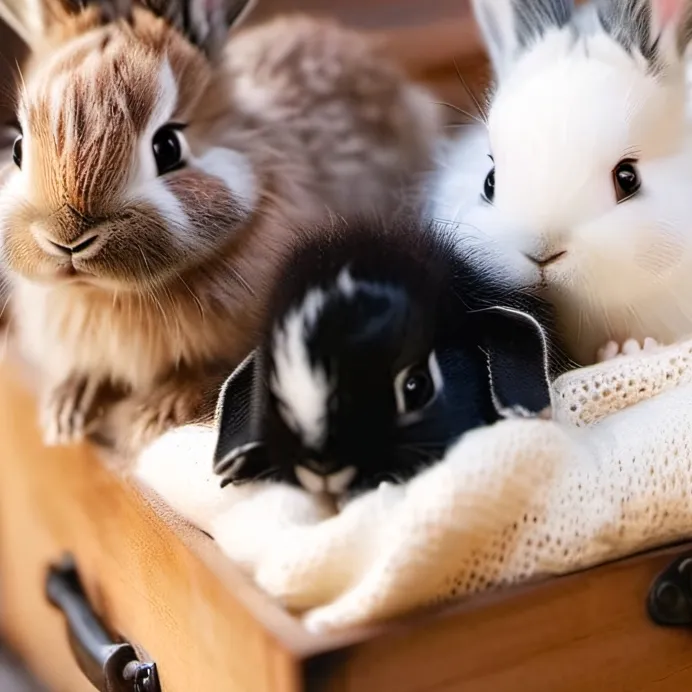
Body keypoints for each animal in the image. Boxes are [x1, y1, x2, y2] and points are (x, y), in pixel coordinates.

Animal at [0, 0, 442, 455]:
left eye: (167, 147)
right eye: (18, 148)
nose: (66, 239)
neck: (111, 294)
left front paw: (152, 415)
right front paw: (67, 411)